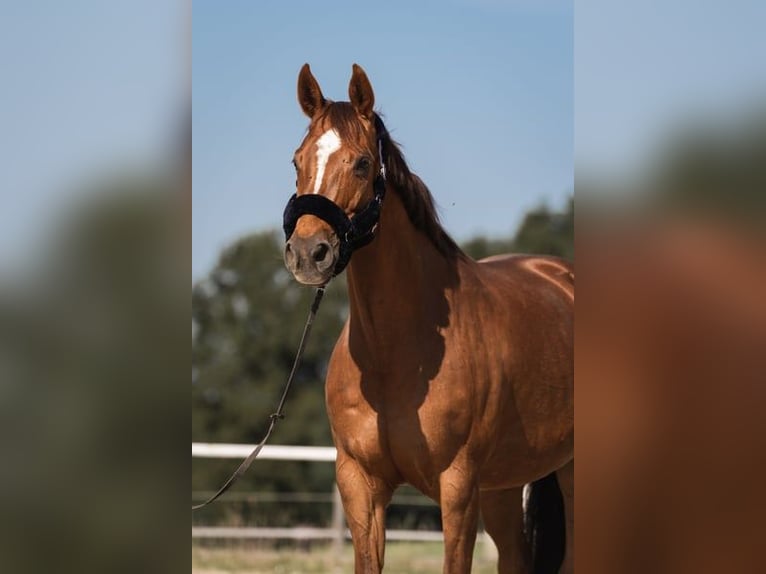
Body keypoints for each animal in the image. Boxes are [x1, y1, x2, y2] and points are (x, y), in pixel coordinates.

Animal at [280, 65, 568, 572]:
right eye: (297, 161)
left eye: (361, 163)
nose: (308, 253)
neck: (394, 355)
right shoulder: (361, 487)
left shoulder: (458, 489)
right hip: (506, 486)